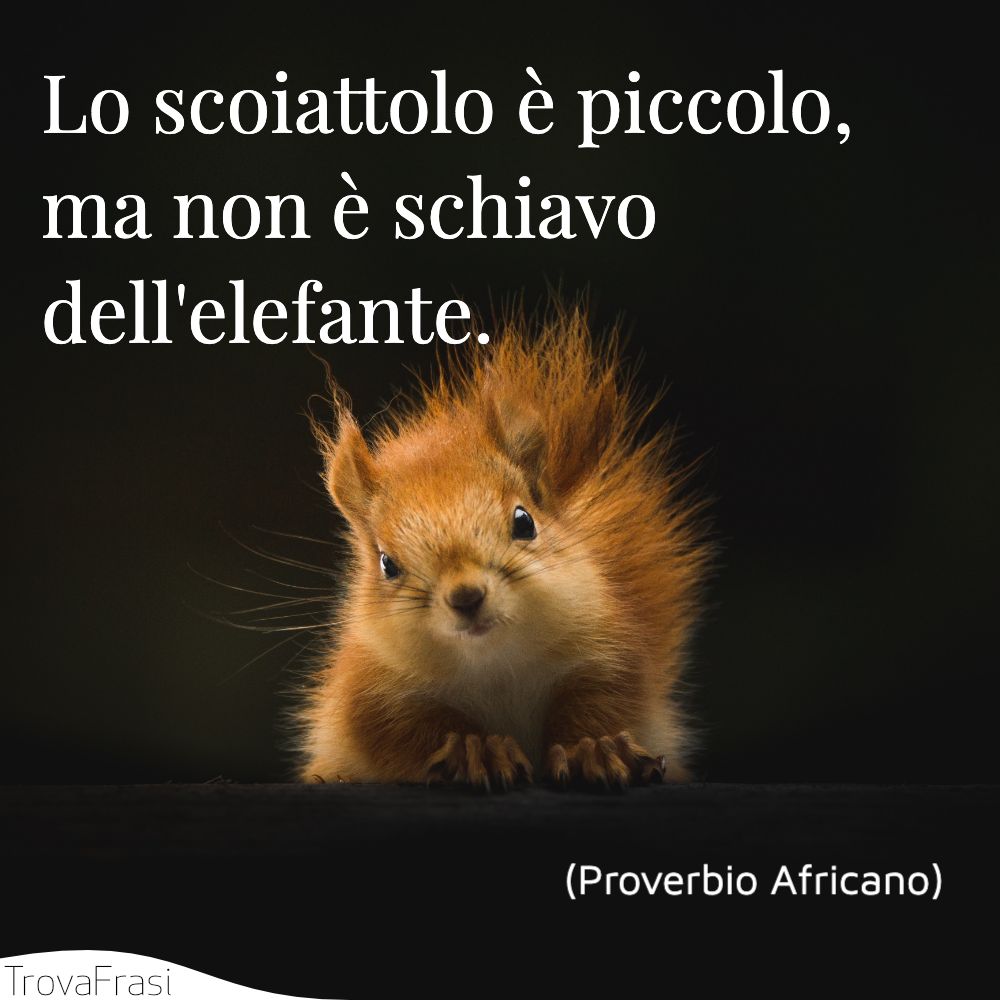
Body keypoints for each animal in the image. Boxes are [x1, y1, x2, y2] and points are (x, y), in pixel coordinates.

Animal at [296, 303, 709, 788]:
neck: (494, 664)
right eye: (387, 564)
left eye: (524, 522)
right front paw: (477, 750)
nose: (466, 596)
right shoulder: (372, 693)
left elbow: (603, 703)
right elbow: (407, 732)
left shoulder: (607, 652)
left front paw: (595, 748)